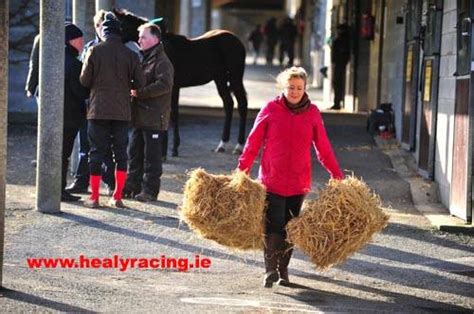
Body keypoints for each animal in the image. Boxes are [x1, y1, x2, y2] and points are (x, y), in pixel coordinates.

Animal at [113, 8, 250, 157]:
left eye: (121, 26)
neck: (162, 47)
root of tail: (238, 41)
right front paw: (168, 149)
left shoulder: (173, 87)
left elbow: (172, 115)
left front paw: (170, 150)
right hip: (220, 79)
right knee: (228, 104)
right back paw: (222, 144)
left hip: (235, 77)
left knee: (242, 104)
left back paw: (239, 146)